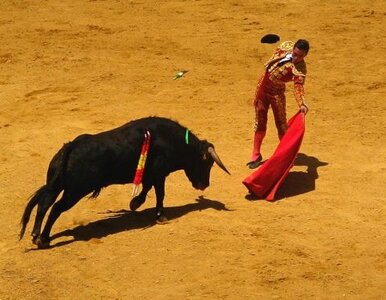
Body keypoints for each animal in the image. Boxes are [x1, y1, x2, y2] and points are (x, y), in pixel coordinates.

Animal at [18, 116, 229, 248]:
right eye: (207, 163)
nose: (204, 185)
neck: (172, 140)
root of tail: (72, 145)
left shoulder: (151, 174)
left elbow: (147, 188)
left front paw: (135, 203)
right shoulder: (159, 174)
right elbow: (160, 193)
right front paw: (160, 216)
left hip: (56, 185)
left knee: (44, 203)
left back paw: (36, 235)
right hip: (75, 191)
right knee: (55, 208)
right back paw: (44, 240)